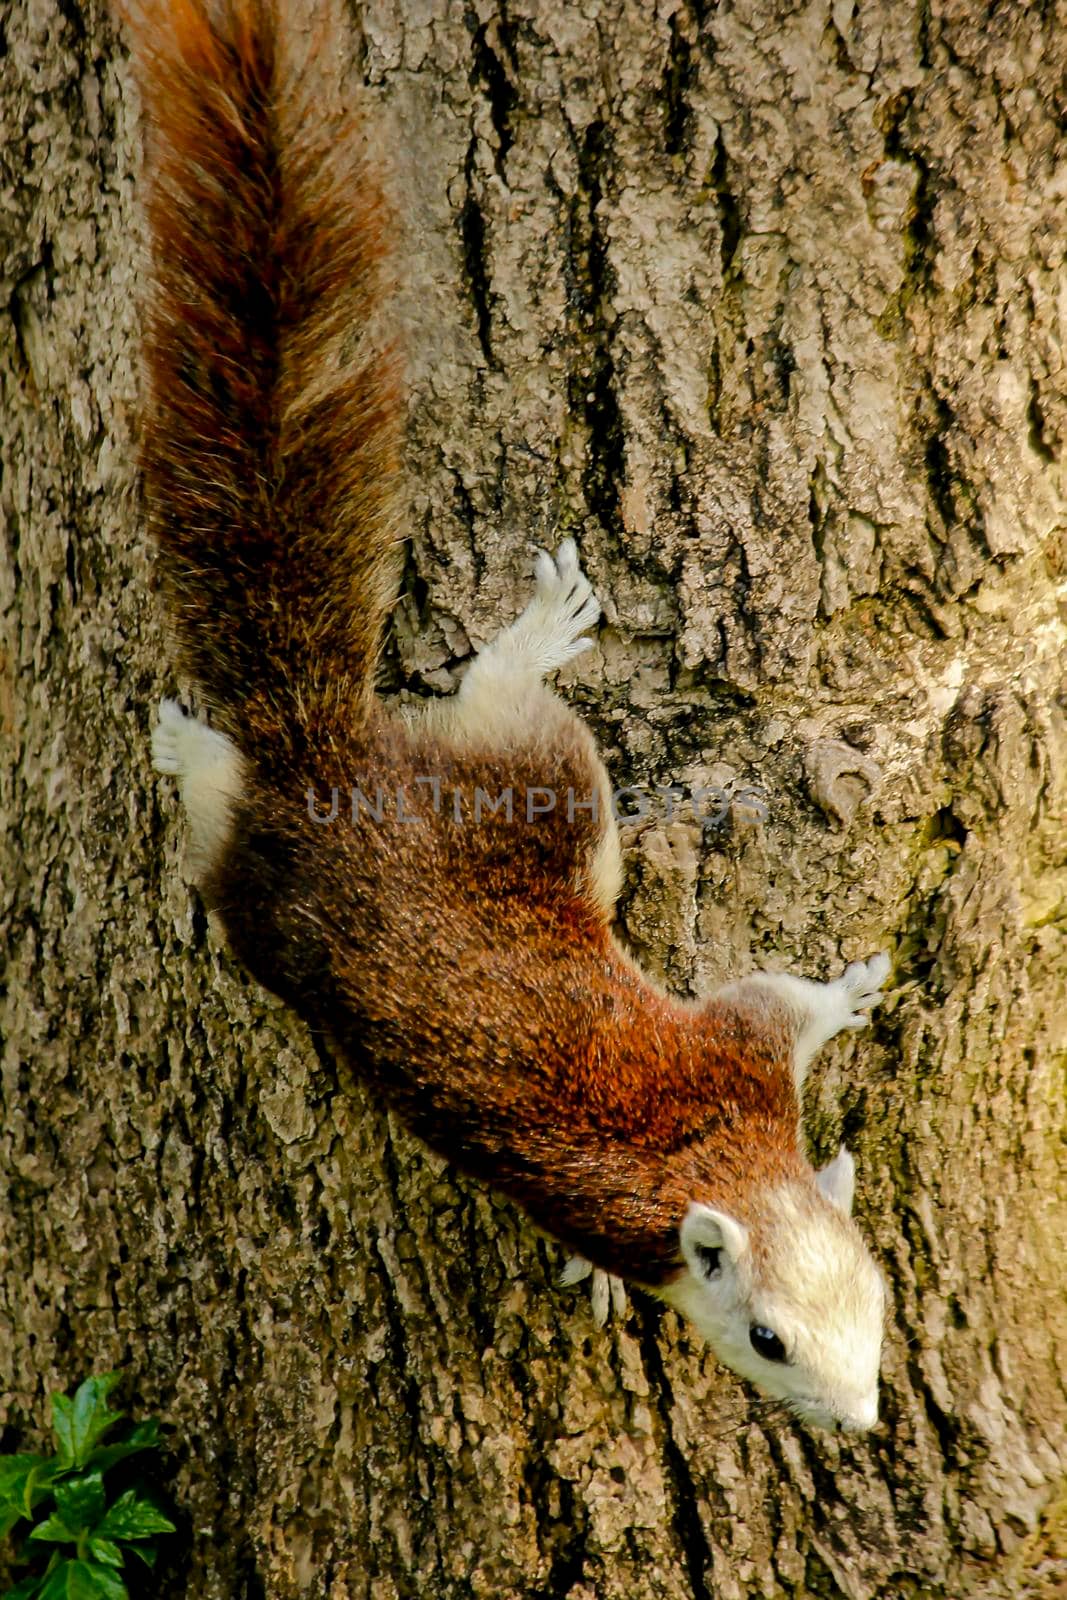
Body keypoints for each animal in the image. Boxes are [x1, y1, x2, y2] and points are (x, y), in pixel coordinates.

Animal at [129, 0, 889, 1433]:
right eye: (764, 1339)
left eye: (876, 1294)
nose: (860, 1421)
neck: (707, 1165)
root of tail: (319, 764)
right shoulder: (732, 1058)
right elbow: (778, 1000)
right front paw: (854, 987)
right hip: (530, 794)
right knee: (510, 710)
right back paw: (533, 633)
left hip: (258, 895)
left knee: (221, 805)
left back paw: (186, 744)